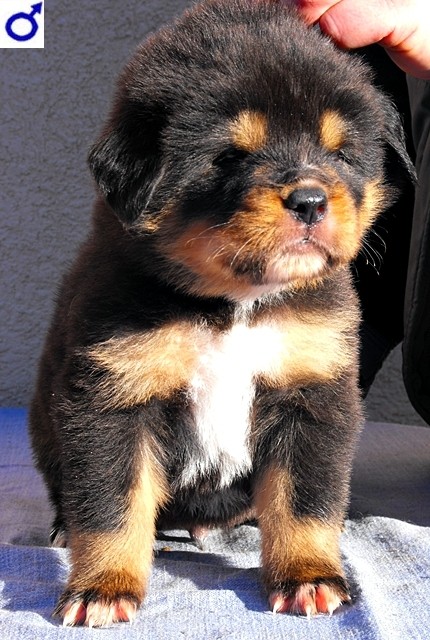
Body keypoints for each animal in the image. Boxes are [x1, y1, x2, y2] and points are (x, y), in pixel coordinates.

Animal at [30, 0, 414, 627]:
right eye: (231, 156)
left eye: (339, 152)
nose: (311, 200)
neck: (234, 306)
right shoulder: (112, 400)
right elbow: (112, 505)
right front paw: (104, 587)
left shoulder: (313, 392)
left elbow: (305, 502)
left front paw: (308, 576)